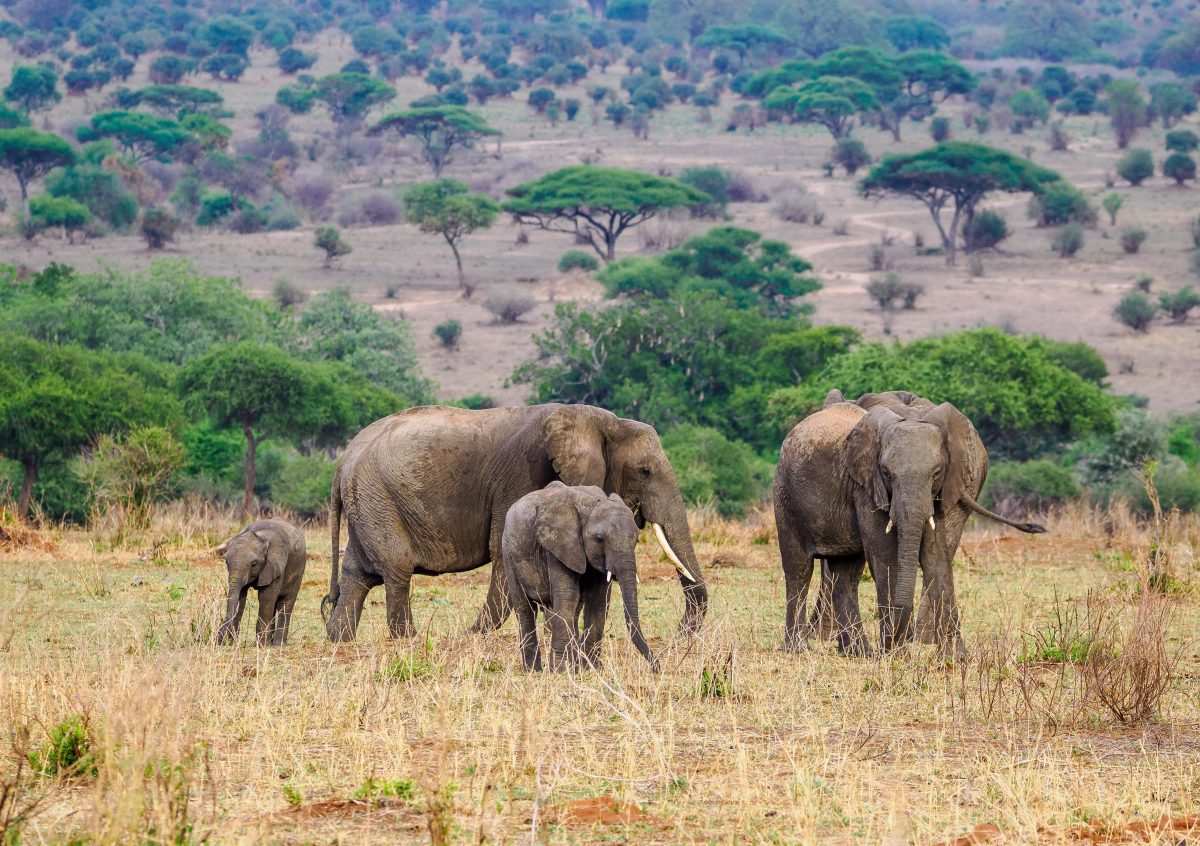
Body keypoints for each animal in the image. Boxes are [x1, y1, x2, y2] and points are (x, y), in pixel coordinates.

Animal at [321, 404, 706, 642]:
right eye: (645, 471)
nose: (679, 634)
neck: (597, 419)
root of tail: (341, 464)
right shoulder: (523, 475)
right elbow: (504, 549)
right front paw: (478, 636)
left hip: (368, 502)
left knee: (358, 573)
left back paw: (339, 638)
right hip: (377, 497)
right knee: (397, 569)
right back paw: (410, 639)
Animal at [503, 482, 656, 672]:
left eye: (636, 540)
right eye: (599, 539)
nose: (656, 668)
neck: (590, 505)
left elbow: (597, 599)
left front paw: (592, 670)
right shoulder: (557, 545)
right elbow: (567, 596)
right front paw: (560, 672)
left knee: (573, 610)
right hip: (509, 554)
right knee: (525, 609)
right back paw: (533, 670)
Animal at [774, 390, 1045, 658]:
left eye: (936, 472)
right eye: (886, 473)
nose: (894, 642)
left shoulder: (939, 491)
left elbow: (936, 554)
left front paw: (954, 658)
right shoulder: (866, 487)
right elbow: (886, 554)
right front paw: (897, 655)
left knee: (846, 573)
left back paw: (860, 652)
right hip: (785, 497)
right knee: (799, 568)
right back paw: (798, 649)